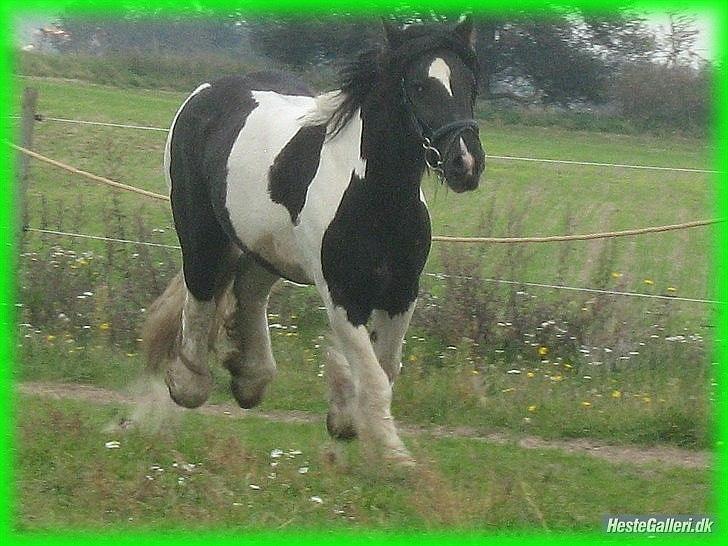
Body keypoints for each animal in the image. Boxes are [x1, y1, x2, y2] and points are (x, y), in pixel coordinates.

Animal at [142, 17, 484, 462]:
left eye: (470, 84)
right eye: (418, 86)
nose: (466, 163)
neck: (377, 198)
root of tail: (207, 91)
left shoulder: (401, 292)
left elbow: (385, 367)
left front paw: (346, 418)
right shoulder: (342, 293)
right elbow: (374, 376)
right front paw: (394, 457)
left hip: (266, 246)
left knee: (250, 291)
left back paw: (249, 378)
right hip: (201, 233)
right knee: (200, 296)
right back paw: (189, 384)